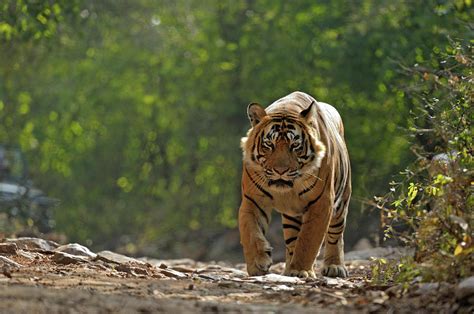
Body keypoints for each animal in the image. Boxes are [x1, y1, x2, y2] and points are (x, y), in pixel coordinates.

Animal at [239, 92, 350, 278]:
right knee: (292, 241)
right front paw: (257, 263)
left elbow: (308, 240)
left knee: (336, 235)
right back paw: (288, 270)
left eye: (295, 145)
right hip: (292, 216)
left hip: (341, 203)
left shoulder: (322, 203)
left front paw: (300, 269)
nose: (280, 171)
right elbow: (250, 232)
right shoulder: (252, 200)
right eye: (269, 144)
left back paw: (334, 267)